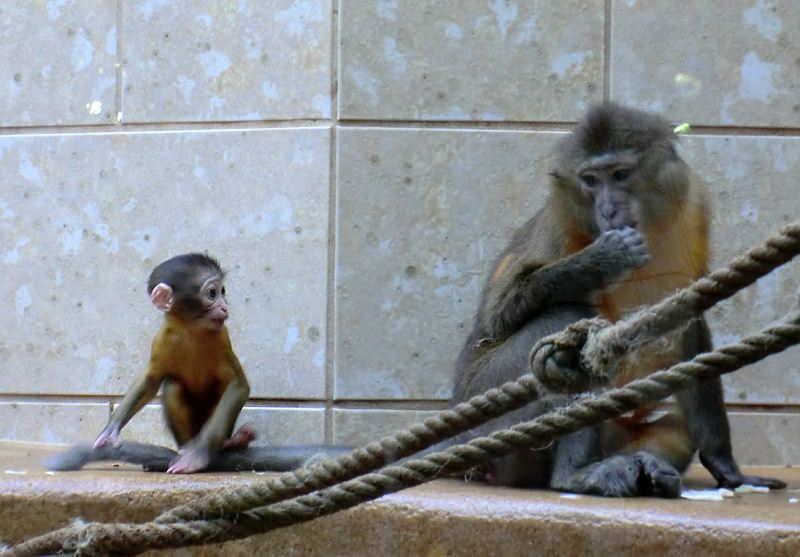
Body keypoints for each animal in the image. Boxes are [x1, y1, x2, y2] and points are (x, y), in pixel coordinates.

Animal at [43, 254, 344, 472]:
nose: (224, 306)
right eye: (212, 293)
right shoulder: (163, 339)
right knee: (172, 384)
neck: (192, 329)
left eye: (223, 291)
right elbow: (152, 380)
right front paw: (111, 429)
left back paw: (227, 443)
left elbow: (238, 385)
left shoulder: (221, 338)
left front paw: (199, 457)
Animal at [450, 103, 788, 496]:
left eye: (621, 174)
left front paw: (725, 465)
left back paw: (652, 470)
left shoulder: (691, 211)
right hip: (486, 411)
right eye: (590, 180)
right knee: (564, 319)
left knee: (675, 427)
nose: (608, 210)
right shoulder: (560, 224)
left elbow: (688, 323)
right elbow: (499, 316)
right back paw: (576, 475)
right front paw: (602, 260)